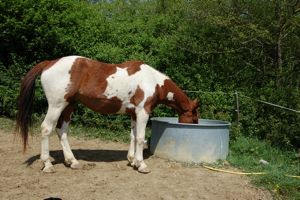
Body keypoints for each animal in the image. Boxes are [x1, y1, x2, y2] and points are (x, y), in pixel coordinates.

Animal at [16, 55, 199, 173]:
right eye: (194, 116)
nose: (195, 125)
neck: (152, 80)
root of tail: (49, 63)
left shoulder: (134, 114)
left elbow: (133, 136)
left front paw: (132, 160)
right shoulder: (143, 112)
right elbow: (140, 138)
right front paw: (141, 165)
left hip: (68, 106)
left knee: (62, 131)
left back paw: (72, 161)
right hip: (56, 105)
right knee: (46, 128)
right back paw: (47, 165)